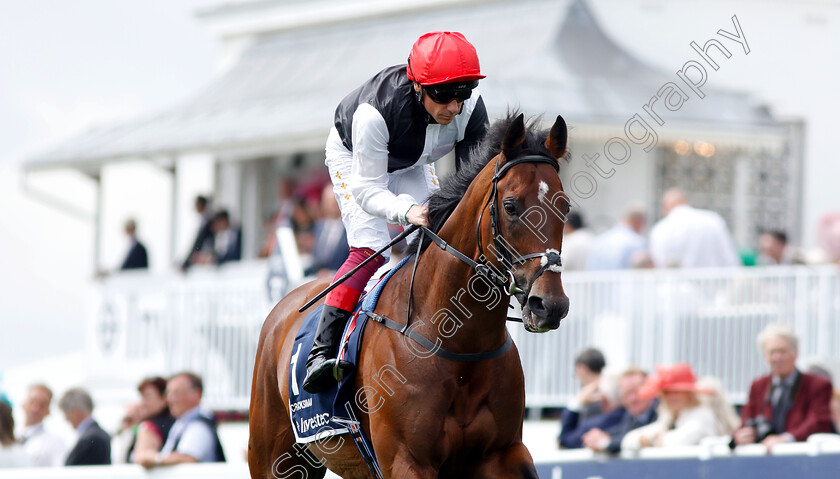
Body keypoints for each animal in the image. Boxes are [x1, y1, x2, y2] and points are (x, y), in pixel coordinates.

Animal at [249, 113, 572, 479]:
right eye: (510, 205)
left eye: (564, 206)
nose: (550, 305)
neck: (458, 342)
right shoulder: (407, 460)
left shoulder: (504, 453)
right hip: (276, 459)